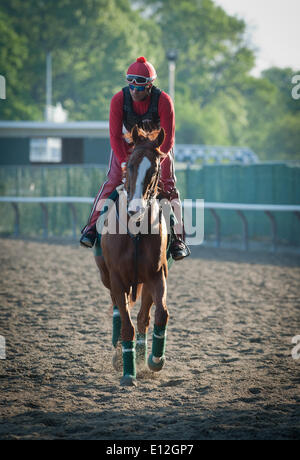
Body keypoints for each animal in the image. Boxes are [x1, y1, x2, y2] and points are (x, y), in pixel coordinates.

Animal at [97, 125, 170, 384]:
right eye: (129, 165)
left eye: (155, 169)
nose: (135, 209)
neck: (136, 231)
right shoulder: (117, 279)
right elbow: (126, 324)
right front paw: (128, 372)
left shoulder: (156, 275)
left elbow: (160, 315)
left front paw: (154, 359)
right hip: (107, 278)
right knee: (119, 313)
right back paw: (120, 354)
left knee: (143, 318)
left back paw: (141, 354)